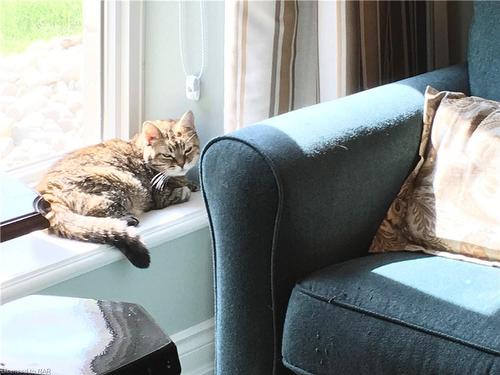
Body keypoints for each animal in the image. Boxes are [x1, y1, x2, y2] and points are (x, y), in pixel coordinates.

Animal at [36, 110, 200, 268]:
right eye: (167, 155)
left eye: (188, 150)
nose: (182, 164)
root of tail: (46, 192)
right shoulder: (161, 196)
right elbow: (181, 192)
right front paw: (186, 188)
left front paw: (192, 183)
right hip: (118, 183)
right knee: (98, 214)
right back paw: (128, 220)